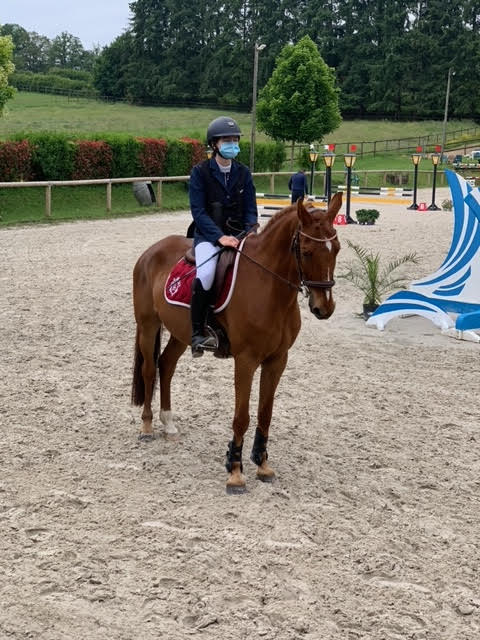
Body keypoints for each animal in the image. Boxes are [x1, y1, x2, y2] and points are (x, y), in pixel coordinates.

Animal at [130, 192, 342, 492]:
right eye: (307, 251)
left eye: (336, 249)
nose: (324, 308)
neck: (270, 287)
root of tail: (151, 251)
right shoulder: (246, 360)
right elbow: (242, 416)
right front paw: (235, 471)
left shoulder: (277, 360)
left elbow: (265, 414)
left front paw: (262, 464)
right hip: (148, 325)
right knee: (150, 370)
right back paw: (147, 427)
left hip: (181, 333)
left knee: (166, 365)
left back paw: (168, 424)